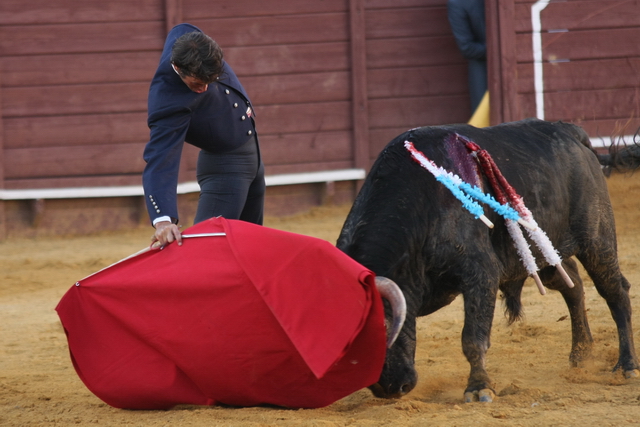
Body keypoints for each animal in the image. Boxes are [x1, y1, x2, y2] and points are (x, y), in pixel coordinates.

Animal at [336, 118, 640, 402]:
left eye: (383, 330)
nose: (389, 389)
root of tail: (571, 131)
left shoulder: (480, 273)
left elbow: (473, 337)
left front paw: (479, 388)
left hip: (596, 241)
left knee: (615, 292)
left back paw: (627, 366)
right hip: (543, 251)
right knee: (573, 285)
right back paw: (580, 355)